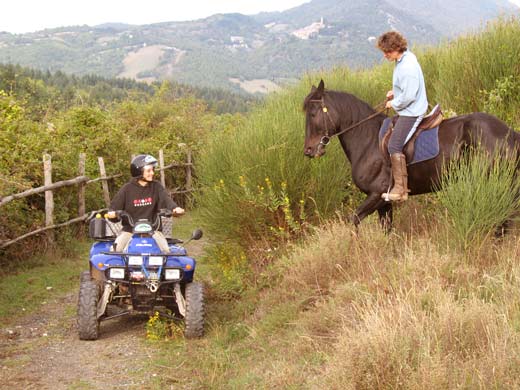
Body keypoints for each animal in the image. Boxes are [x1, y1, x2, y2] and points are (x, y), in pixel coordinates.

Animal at [302, 80, 516, 230]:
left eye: (313, 114)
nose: (309, 151)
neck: (367, 141)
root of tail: (510, 133)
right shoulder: (384, 203)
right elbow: (386, 230)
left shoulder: (377, 194)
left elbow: (354, 220)